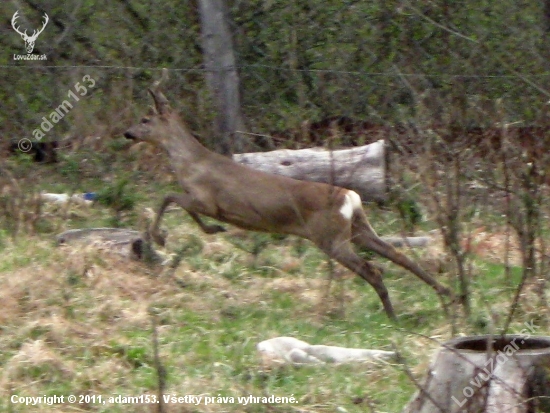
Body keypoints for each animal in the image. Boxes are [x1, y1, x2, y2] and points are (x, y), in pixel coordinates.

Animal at [125, 69, 452, 318]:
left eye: (145, 119)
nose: (127, 133)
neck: (191, 164)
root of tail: (350, 197)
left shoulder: (207, 199)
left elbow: (170, 197)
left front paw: (162, 236)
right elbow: (176, 201)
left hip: (330, 236)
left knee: (374, 269)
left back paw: (393, 315)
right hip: (357, 228)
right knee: (399, 255)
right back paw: (445, 293)